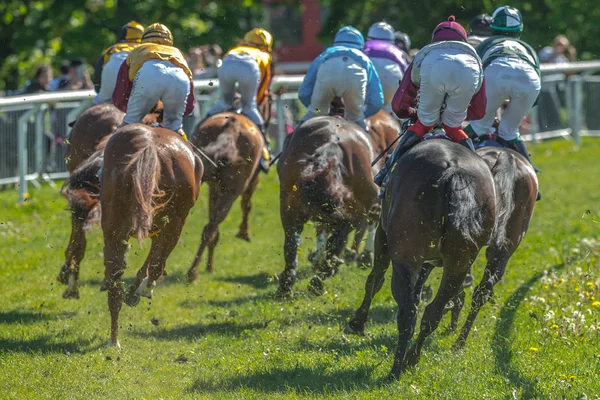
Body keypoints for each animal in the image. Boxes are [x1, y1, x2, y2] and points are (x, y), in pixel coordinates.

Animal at [102, 125, 203, 346]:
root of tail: (151, 149)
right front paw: (141, 288)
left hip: (115, 227)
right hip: (175, 222)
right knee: (155, 262)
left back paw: (114, 338)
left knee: (115, 278)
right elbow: (155, 260)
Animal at [186, 111, 264, 278]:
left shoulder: (214, 188)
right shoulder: (250, 182)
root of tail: (231, 127)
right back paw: (192, 272)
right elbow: (246, 205)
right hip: (232, 191)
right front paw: (244, 232)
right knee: (209, 229)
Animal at [354, 138, 494, 378]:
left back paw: (396, 369)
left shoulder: (383, 237)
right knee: (432, 313)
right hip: (459, 264)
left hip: (405, 259)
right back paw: (411, 358)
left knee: (408, 313)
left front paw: (358, 323)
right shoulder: (429, 263)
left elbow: (375, 280)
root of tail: (453, 170)